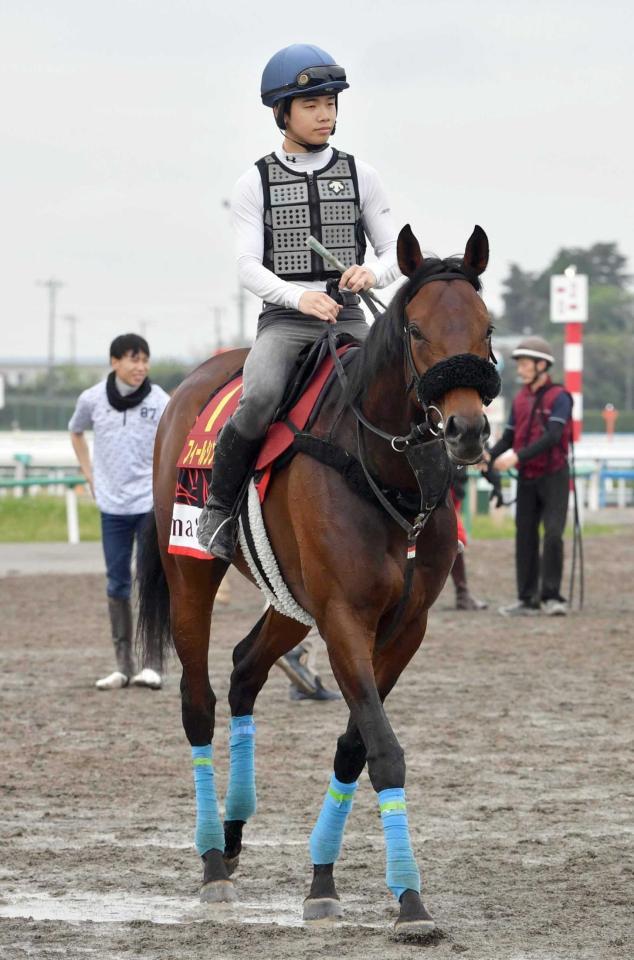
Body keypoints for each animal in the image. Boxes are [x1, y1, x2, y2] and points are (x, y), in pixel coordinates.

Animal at [137, 225, 498, 936]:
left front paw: (323, 879)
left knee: (245, 668)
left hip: (288, 598)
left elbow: (356, 747)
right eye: (415, 330)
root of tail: (192, 382)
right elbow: (383, 749)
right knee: (199, 703)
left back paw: (235, 832)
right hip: (190, 574)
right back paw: (213, 862)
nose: (467, 430)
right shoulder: (343, 619)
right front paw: (410, 900)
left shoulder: (403, 627)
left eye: (487, 327)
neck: (383, 469)